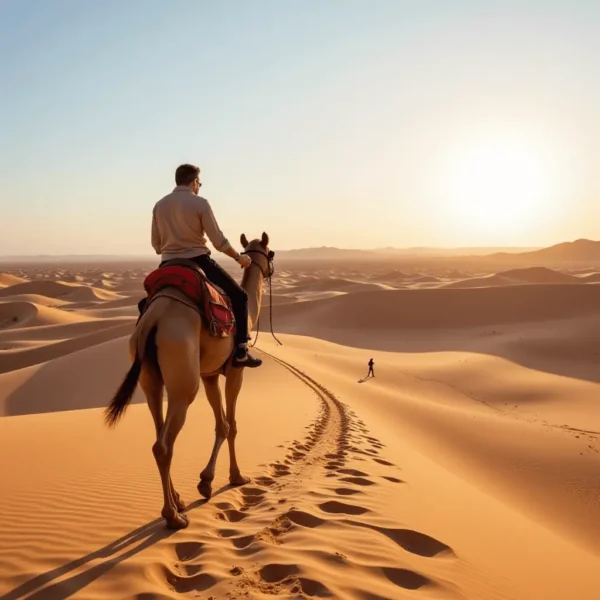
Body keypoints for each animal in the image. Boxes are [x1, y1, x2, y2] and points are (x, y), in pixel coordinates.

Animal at [104, 232, 274, 528]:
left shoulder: (209, 376)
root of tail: (155, 317)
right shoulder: (234, 372)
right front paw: (234, 477)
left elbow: (221, 425)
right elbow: (232, 426)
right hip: (184, 378)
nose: (270, 269)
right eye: (271, 252)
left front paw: (206, 482)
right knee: (164, 444)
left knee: (158, 435)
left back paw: (178, 501)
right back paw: (172, 516)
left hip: (150, 378)